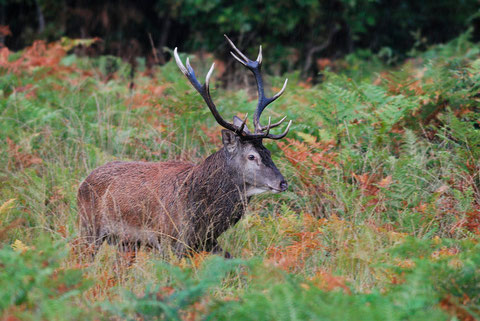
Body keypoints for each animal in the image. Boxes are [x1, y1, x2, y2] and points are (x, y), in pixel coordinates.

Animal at [76, 35, 292, 256]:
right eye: (251, 156)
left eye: (268, 152)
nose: (282, 183)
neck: (202, 214)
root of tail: (82, 183)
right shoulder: (168, 239)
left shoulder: (207, 241)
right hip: (89, 228)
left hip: (125, 242)